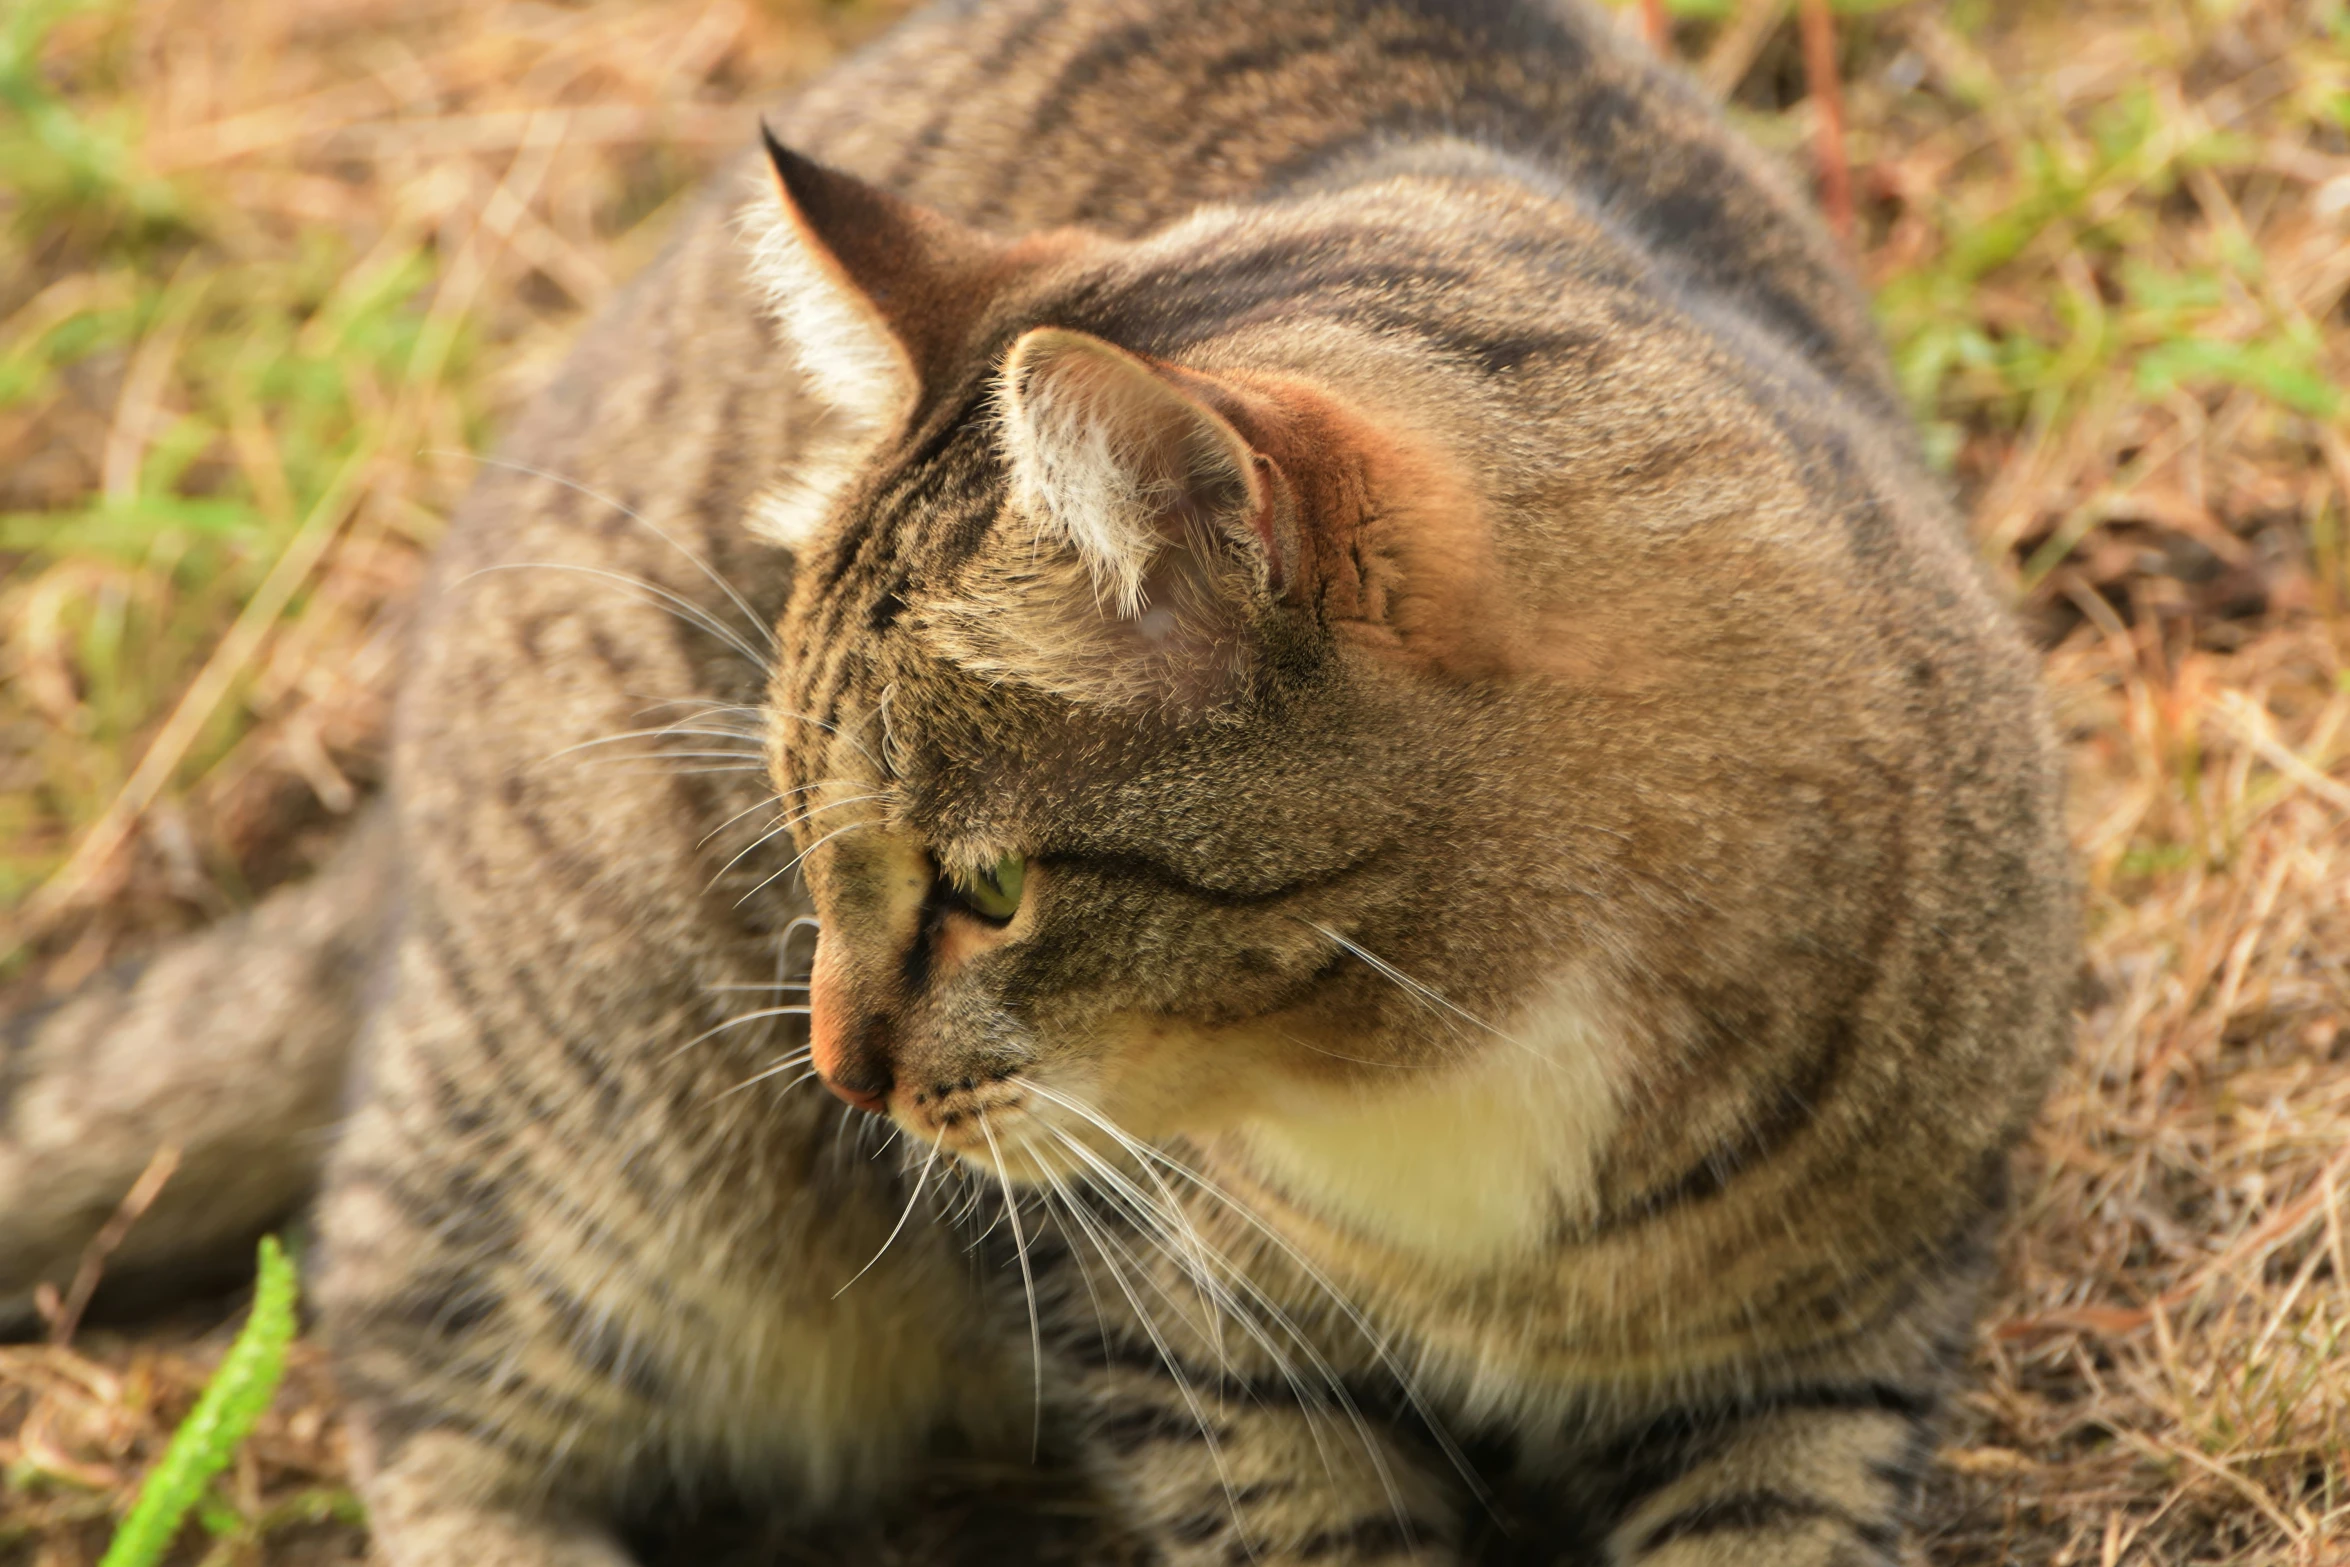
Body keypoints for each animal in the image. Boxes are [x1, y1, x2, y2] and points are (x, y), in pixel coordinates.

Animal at [13, 3, 2077, 1567]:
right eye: (806, 844)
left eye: (986, 890)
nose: (839, 1068)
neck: (1446, 1080)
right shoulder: (1178, 1333)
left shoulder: (1836, 1346)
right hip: (600, 1139)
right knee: (404, 1331)